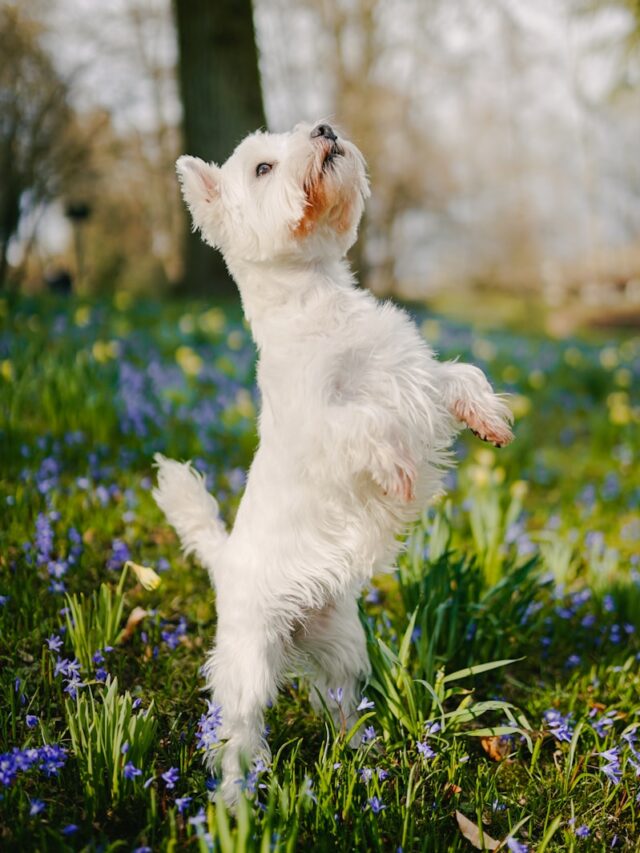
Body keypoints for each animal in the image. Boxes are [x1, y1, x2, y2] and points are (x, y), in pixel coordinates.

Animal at [152, 121, 512, 804]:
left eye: (296, 132)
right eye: (263, 167)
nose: (324, 129)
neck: (317, 298)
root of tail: (225, 563)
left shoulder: (415, 377)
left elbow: (460, 374)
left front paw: (488, 418)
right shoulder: (324, 419)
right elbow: (368, 427)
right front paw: (398, 471)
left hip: (344, 642)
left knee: (340, 702)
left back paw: (363, 756)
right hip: (249, 663)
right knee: (237, 735)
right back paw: (236, 802)